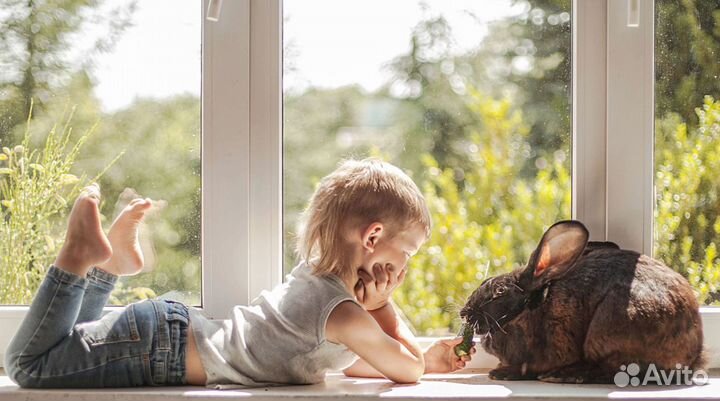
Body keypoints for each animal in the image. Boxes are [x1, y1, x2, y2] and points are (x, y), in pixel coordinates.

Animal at [462, 220, 704, 382]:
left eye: (499, 291)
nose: (464, 312)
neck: (529, 311)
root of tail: (695, 356)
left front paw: (501, 373)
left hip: (607, 330)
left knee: (613, 369)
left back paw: (563, 375)